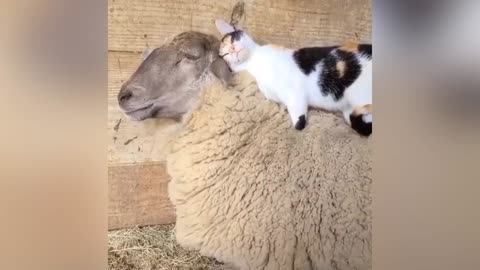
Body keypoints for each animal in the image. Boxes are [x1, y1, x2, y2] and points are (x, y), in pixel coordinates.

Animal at [216, 19, 374, 136]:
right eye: (225, 55)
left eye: (232, 39)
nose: (232, 50)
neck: (255, 63)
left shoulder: (295, 93)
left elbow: (299, 123)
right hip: (350, 108)